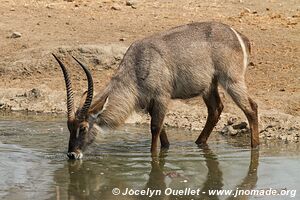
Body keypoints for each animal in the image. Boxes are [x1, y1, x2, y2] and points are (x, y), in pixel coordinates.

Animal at [52, 21, 258, 159]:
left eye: (83, 127)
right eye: (69, 127)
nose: (72, 154)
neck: (138, 65)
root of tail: (239, 36)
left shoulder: (161, 97)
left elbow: (155, 128)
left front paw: (154, 158)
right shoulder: (149, 103)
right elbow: (163, 131)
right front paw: (166, 148)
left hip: (231, 80)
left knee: (251, 107)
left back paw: (255, 147)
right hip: (209, 85)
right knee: (216, 109)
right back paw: (199, 143)